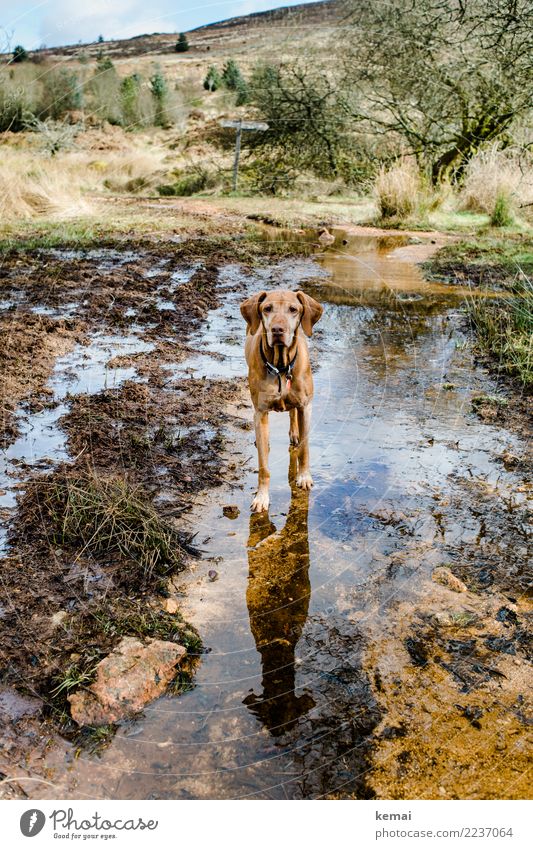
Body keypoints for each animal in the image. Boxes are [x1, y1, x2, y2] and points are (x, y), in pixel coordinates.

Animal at [240, 288, 322, 510]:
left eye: (293, 309)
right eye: (267, 308)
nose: (277, 330)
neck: (281, 366)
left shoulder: (306, 406)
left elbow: (304, 449)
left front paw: (304, 477)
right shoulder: (260, 412)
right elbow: (263, 467)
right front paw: (262, 497)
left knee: (293, 413)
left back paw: (294, 433)